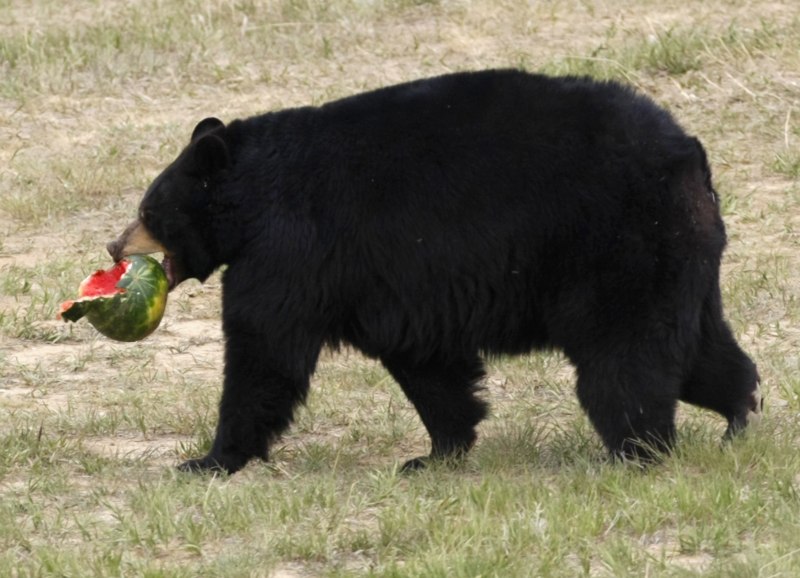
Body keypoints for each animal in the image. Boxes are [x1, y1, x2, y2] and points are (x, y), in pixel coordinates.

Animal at [107, 69, 762, 474]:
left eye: (148, 211)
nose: (114, 247)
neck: (250, 195)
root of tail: (689, 154)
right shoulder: (395, 287)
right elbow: (428, 366)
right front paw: (436, 453)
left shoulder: (290, 249)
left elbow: (264, 351)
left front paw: (210, 460)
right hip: (677, 258)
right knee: (700, 350)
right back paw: (738, 415)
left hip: (618, 249)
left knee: (625, 361)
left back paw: (635, 452)